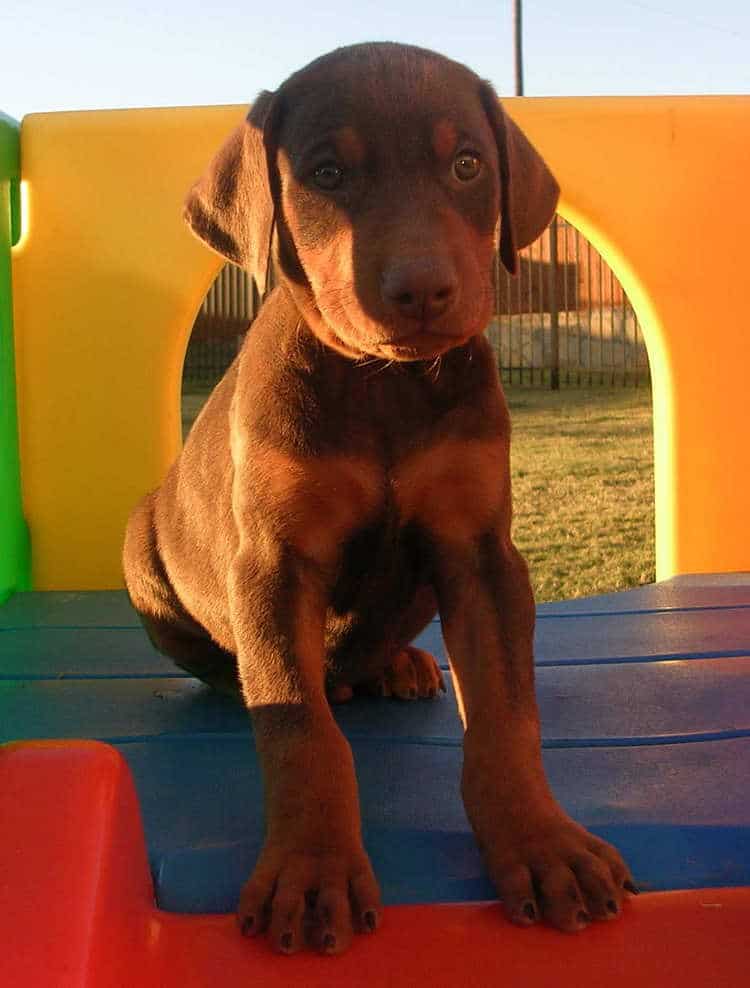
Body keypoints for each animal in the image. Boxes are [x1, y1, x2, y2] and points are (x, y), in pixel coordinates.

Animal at [122, 42, 636, 952]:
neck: (384, 387)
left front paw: (542, 844)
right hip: (141, 547)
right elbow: (301, 730)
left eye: (467, 164)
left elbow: (507, 715)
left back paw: (396, 663)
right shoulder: (275, 563)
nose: (422, 290)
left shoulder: (480, 551)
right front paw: (311, 871)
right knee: (255, 675)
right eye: (326, 172)